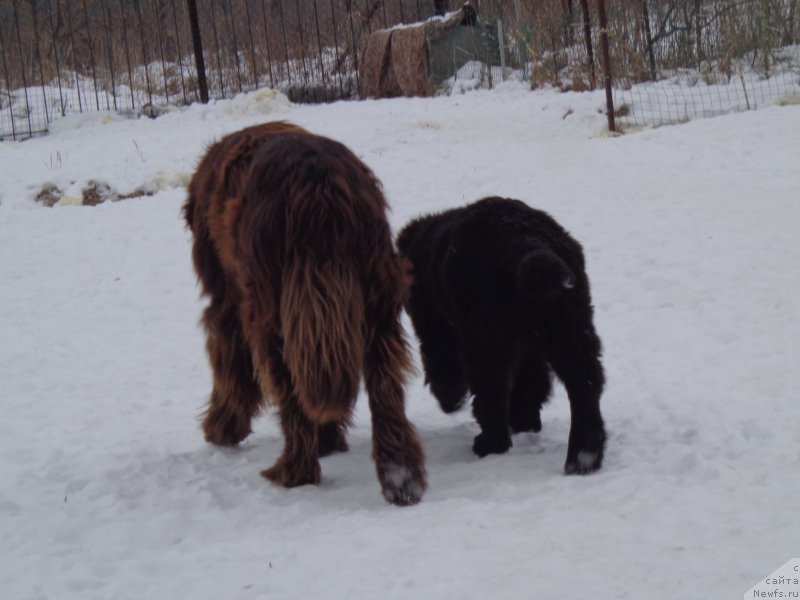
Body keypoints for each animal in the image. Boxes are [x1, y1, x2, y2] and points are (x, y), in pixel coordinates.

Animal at [184, 122, 428, 506]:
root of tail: (318, 187)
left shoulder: (228, 306)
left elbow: (232, 369)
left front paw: (222, 429)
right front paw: (328, 438)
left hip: (272, 317)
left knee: (292, 396)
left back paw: (292, 472)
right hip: (376, 305)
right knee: (384, 390)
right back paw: (401, 478)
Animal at [400, 197, 608, 474]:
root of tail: (525, 240)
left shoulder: (437, 327)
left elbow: (443, 367)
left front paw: (450, 400)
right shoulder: (528, 347)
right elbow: (532, 383)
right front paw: (525, 421)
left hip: (486, 340)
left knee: (491, 393)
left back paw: (488, 444)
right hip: (570, 330)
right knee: (585, 386)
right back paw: (583, 458)